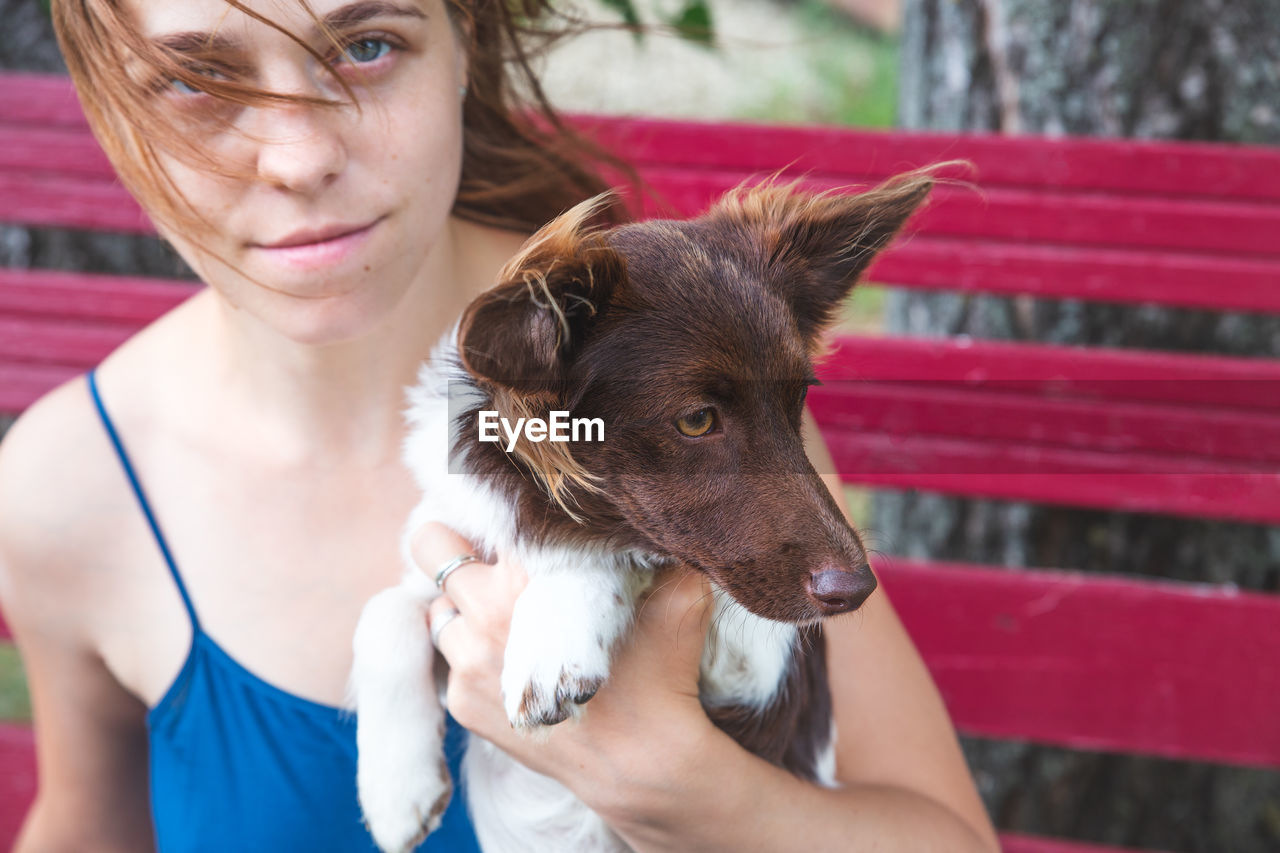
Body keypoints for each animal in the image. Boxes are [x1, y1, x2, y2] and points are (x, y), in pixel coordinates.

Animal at [350, 169, 931, 845]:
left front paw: (552, 632)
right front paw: (396, 791)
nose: (856, 590)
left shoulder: (762, 672)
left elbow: (623, 552)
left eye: (797, 402)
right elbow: (383, 610)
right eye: (697, 420)